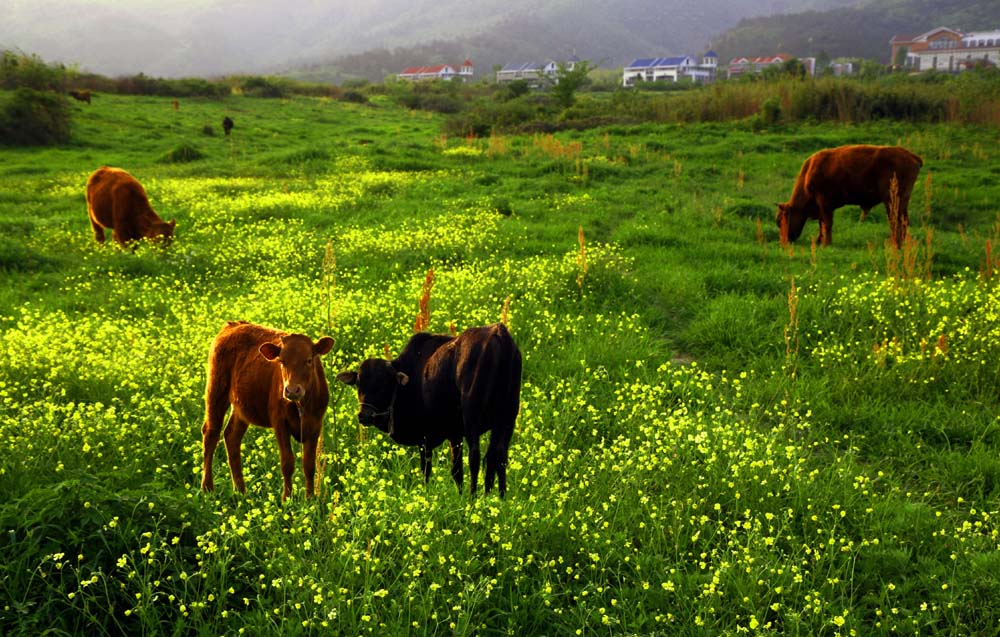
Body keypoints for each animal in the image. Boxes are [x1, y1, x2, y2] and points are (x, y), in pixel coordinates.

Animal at [200, 320, 336, 500]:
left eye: (308, 360)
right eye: (282, 361)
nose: (292, 390)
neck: (301, 405)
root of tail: (233, 325)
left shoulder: (315, 425)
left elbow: (309, 465)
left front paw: (310, 499)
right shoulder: (279, 422)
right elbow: (287, 463)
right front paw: (287, 499)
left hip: (241, 406)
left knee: (231, 436)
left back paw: (241, 491)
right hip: (216, 391)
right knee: (211, 434)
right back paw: (207, 488)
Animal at [338, 322, 524, 496]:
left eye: (383, 384)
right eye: (358, 384)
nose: (364, 415)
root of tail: (498, 333)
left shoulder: (427, 438)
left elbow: (430, 471)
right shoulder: (454, 433)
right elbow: (457, 471)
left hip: (472, 416)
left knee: (475, 457)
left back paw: (473, 499)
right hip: (508, 416)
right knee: (498, 456)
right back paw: (498, 497)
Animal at [776, 144, 924, 246]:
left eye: (781, 221)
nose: (784, 242)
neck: (808, 174)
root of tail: (912, 156)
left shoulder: (824, 203)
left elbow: (827, 223)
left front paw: (826, 243)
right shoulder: (822, 207)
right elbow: (822, 223)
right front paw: (820, 240)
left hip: (891, 200)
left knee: (895, 219)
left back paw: (894, 242)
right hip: (901, 201)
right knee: (903, 220)